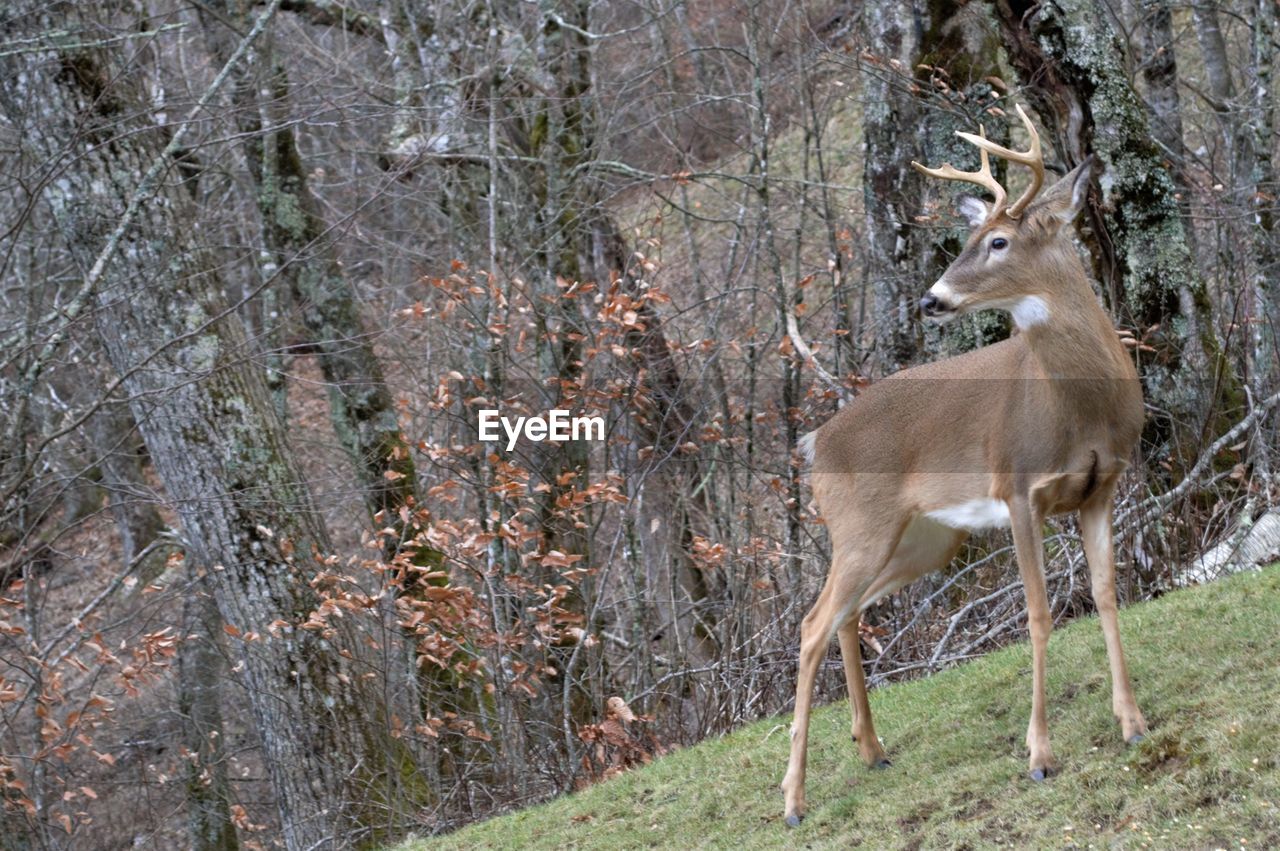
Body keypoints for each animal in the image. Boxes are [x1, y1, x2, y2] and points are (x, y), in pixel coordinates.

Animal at [783, 104, 1146, 824]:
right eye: (970, 237)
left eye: (998, 241)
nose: (931, 299)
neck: (1081, 404)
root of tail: (816, 442)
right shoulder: (1019, 488)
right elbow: (1038, 613)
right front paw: (1040, 755)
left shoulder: (1101, 487)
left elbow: (1105, 592)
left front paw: (1132, 722)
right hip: (860, 526)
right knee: (811, 626)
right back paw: (794, 798)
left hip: (924, 538)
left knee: (846, 616)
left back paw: (873, 749)